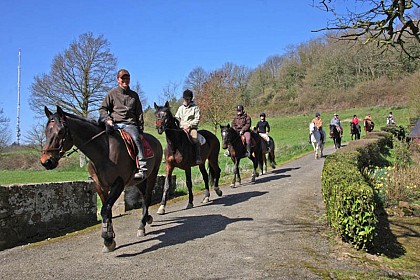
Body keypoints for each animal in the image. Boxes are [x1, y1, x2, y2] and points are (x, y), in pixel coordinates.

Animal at [40, 105, 162, 254]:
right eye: (46, 131)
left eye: (61, 131)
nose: (46, 161)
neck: (103, 151)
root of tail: (155, 140)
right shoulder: (99, 185)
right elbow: (106, 209)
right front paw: (110, 238)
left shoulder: (118, 183)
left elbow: (105, 209)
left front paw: (107, 239)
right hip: (137, 181)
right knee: (144, 197)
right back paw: (146, 220)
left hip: (152, 174)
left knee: (147, 197)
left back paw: (141, 226)